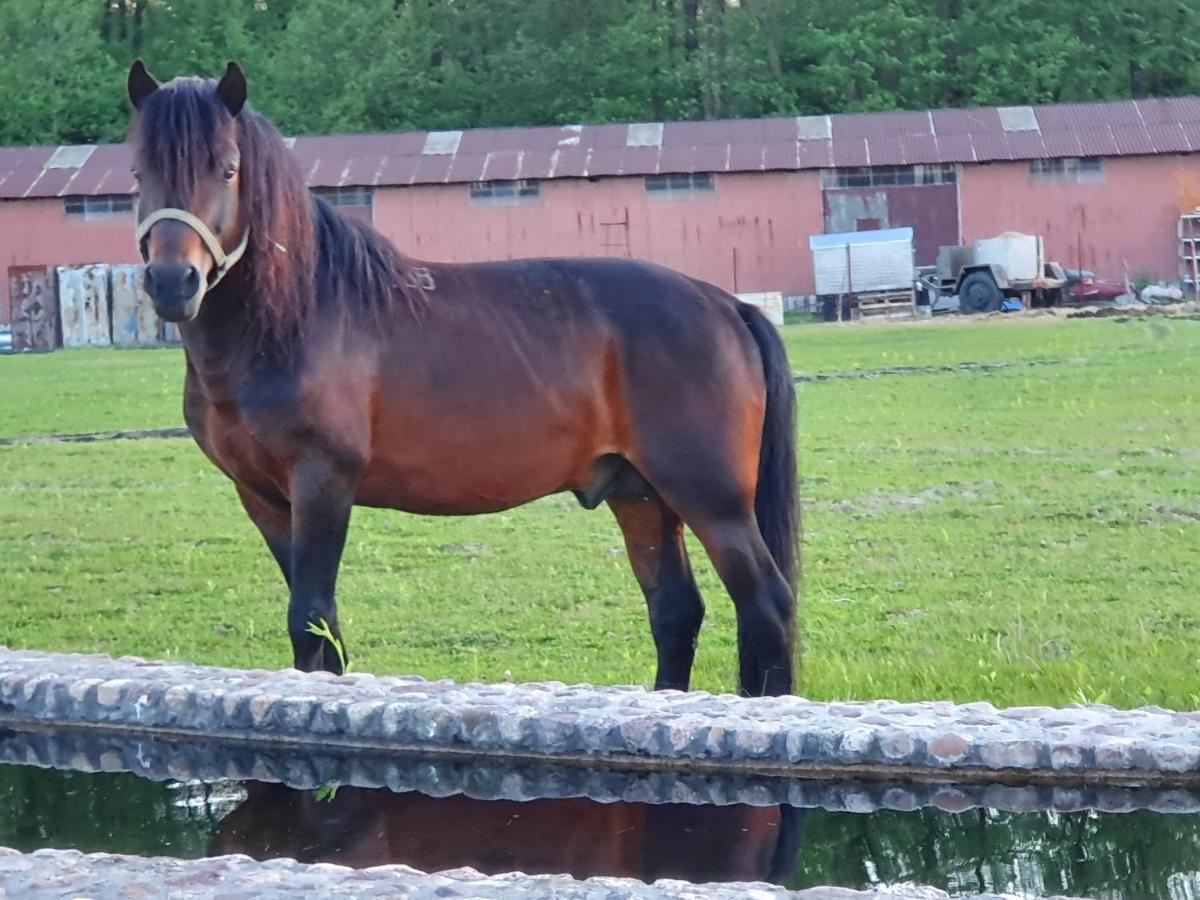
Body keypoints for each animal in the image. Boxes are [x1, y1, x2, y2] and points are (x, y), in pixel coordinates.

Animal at [126, 61, 801, 696]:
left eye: (228, 169)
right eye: (137, 173)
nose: (173, 282)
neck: (298, 317)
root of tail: (727, 305)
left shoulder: (322, 483)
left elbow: (310, 619)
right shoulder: (263, 498)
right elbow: (323, 632)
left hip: (713, 501)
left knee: (766, 604)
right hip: (641, 496)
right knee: (675, 611)